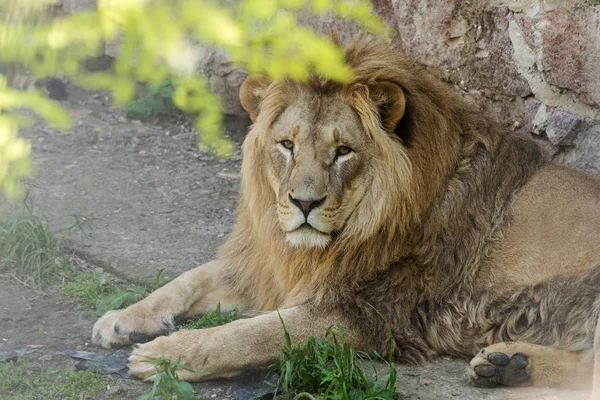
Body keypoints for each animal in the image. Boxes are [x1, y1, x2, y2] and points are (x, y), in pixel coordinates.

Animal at [91, 38, 600, 396]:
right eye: (287, 145)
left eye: (342, 152)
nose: (304, 204)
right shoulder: (268, 265)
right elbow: (189, 279)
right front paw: (121, 318)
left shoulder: (363, 311)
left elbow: (248, 335)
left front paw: (166, 357)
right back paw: (507, 365)